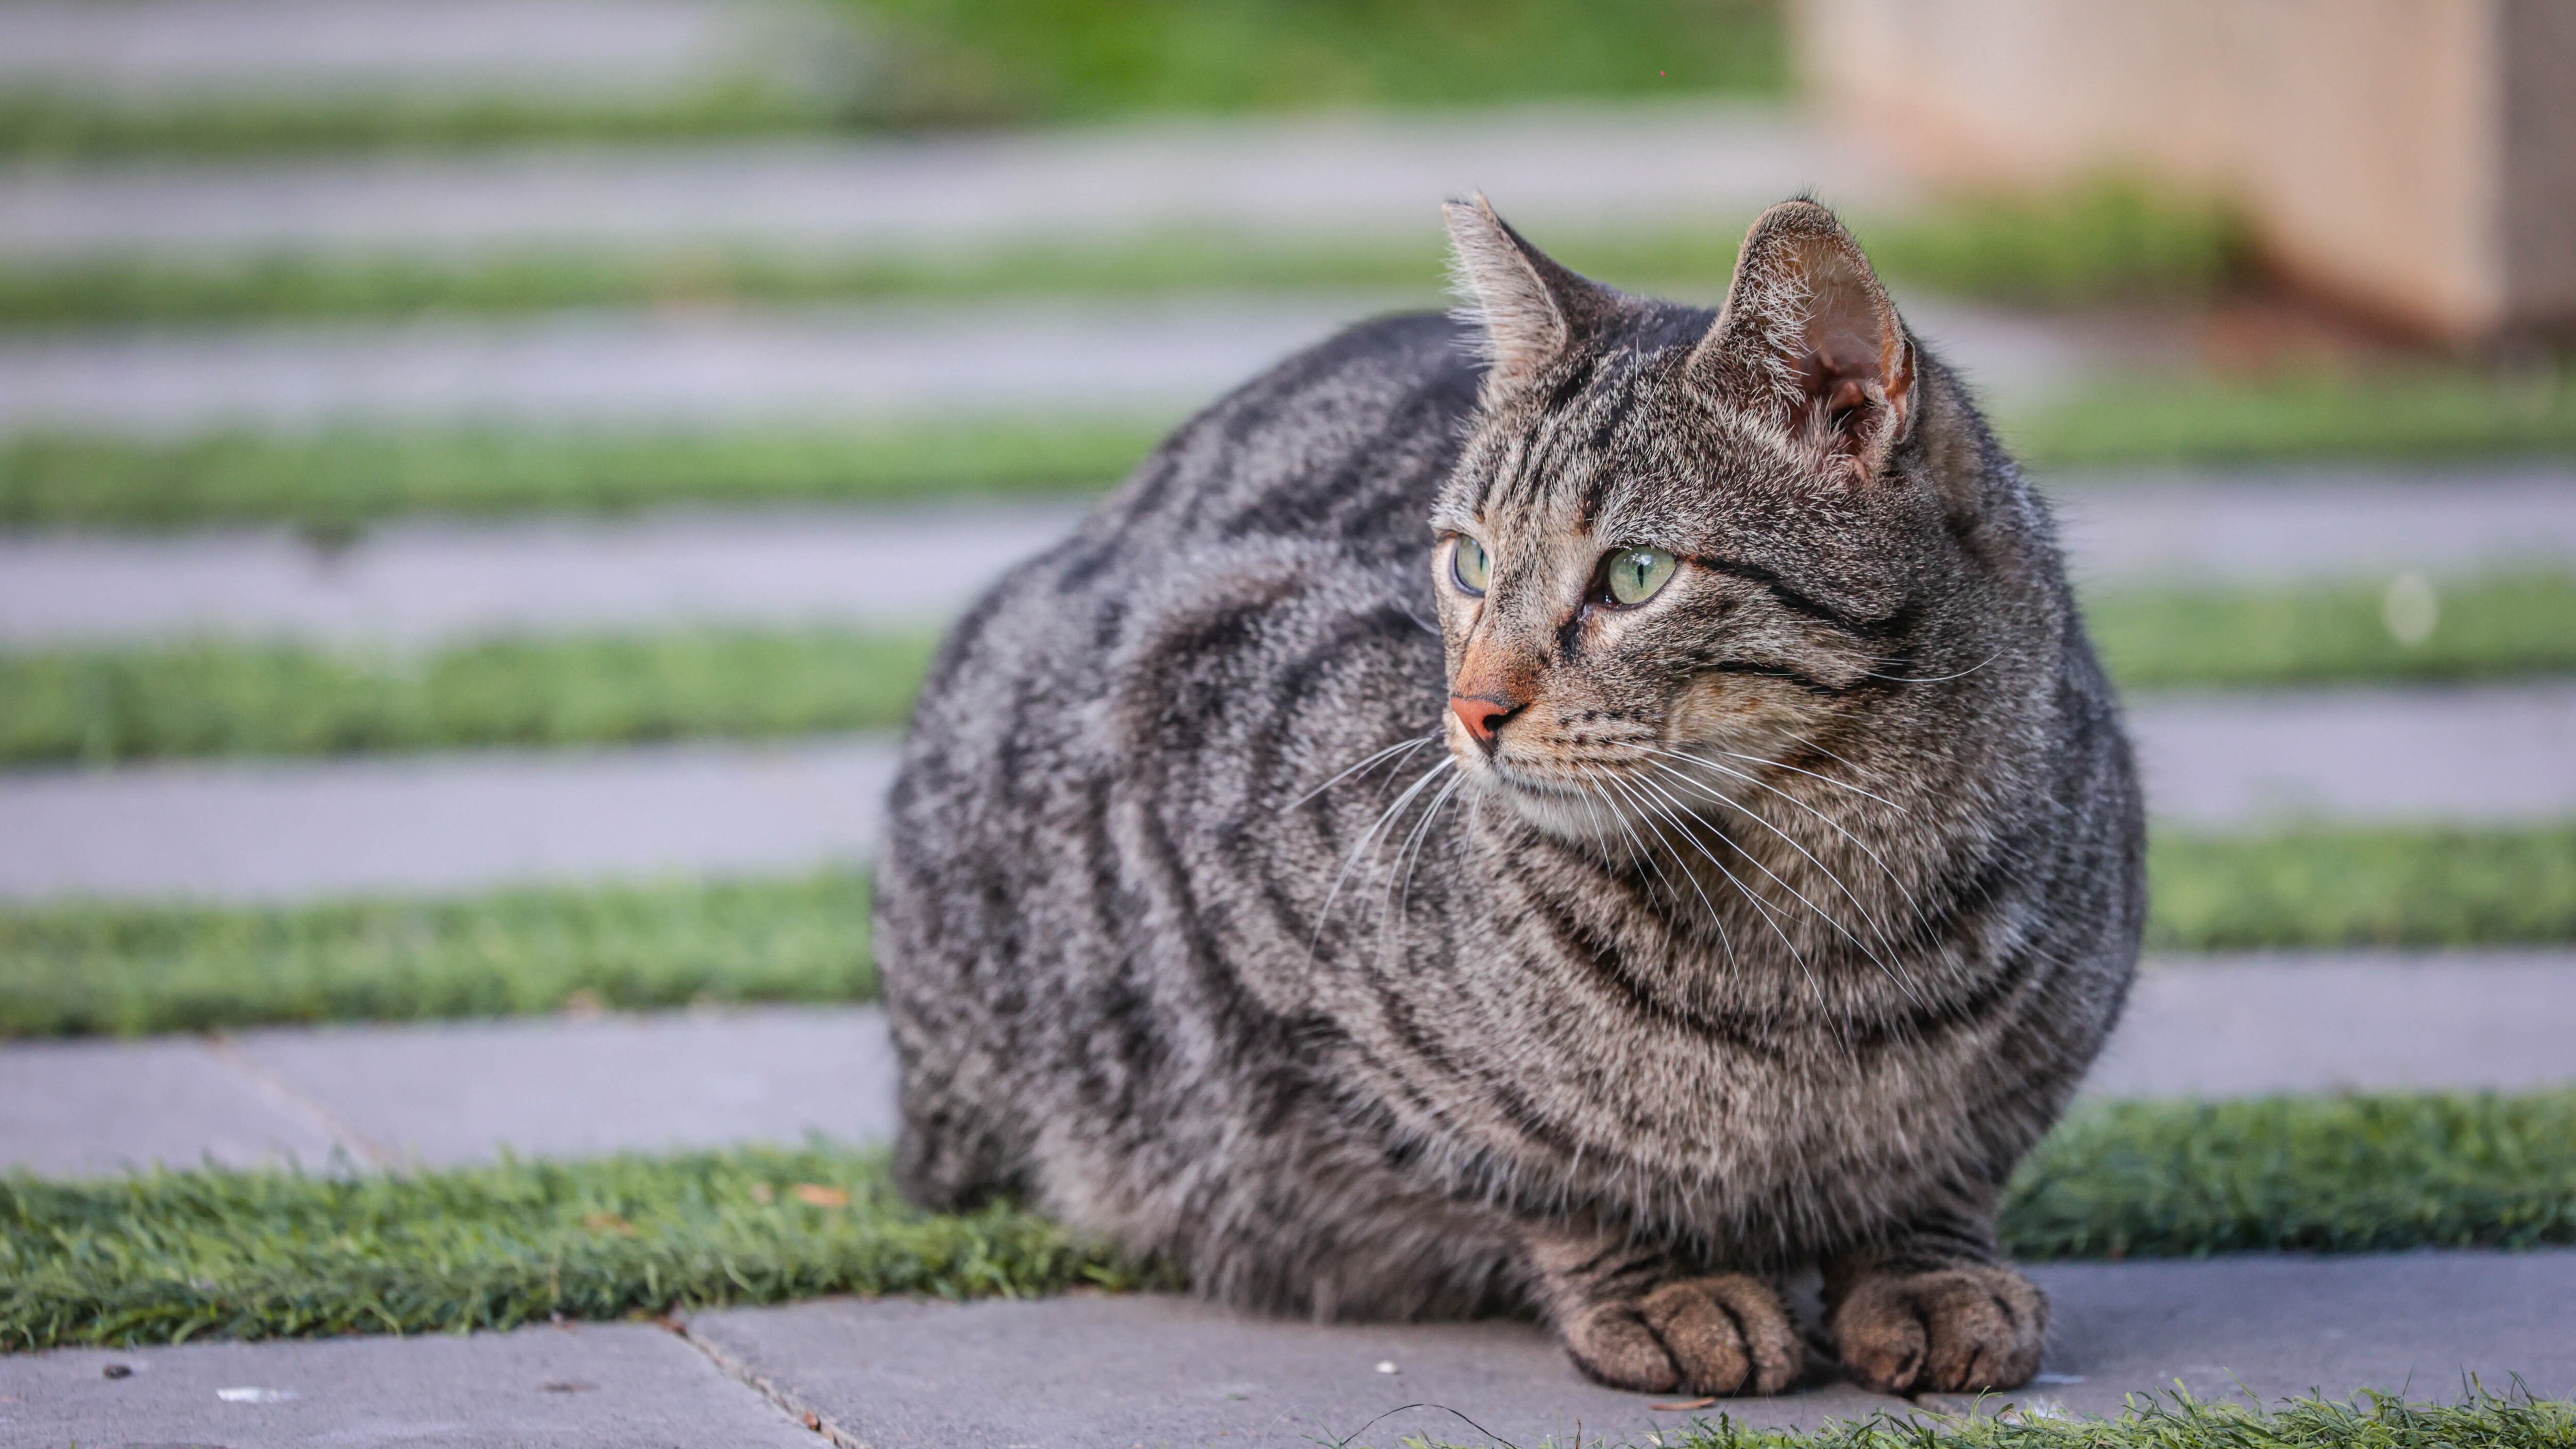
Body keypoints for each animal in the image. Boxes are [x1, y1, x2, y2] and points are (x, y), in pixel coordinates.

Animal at [876, 193, 2143, 1390]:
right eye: (1469, 561)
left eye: (1636, 574)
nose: (1472, 709)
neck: (1818, 931)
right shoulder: (1205, 706)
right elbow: (1539, 1158)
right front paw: (1661, 1281)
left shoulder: (2029, 1059)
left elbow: (1940, 1169)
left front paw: (1927, 1273)